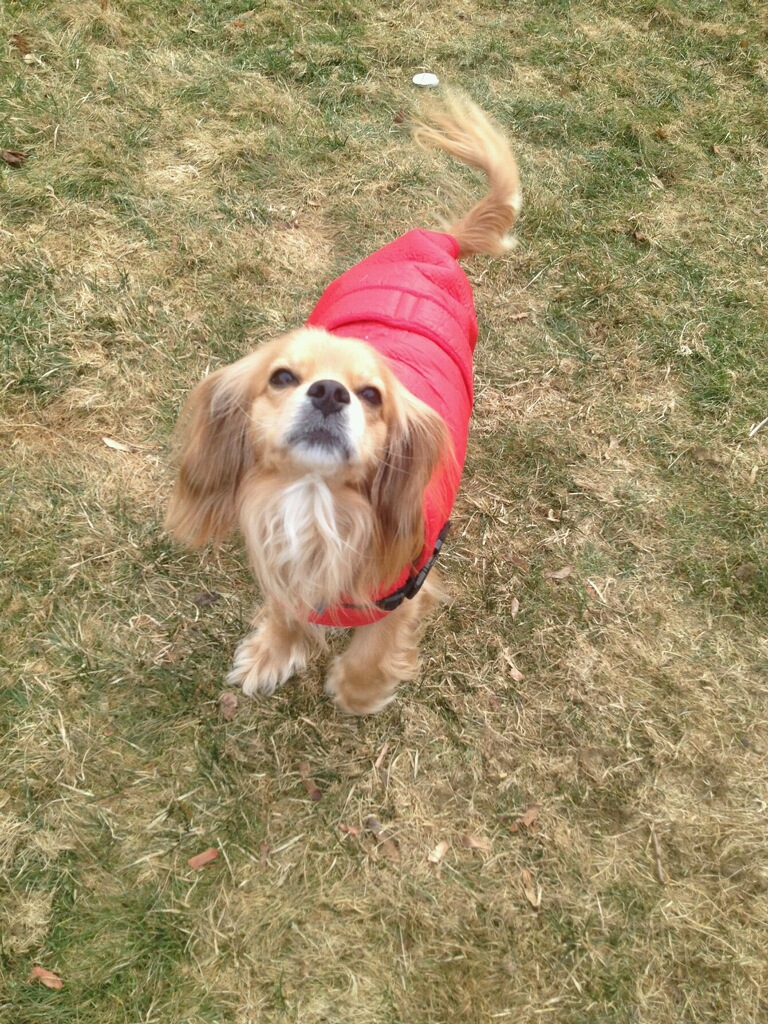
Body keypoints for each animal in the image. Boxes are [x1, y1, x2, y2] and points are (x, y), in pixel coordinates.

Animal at [166, 93, 520, 714]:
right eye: (283, 377)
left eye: (372, 395)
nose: (329, 392)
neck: (315, 502)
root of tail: (439, 241)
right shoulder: (282, 559)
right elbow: (287, 609)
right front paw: (274, 652)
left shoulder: (405, 585)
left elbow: (375, 647)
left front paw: (358, 691)